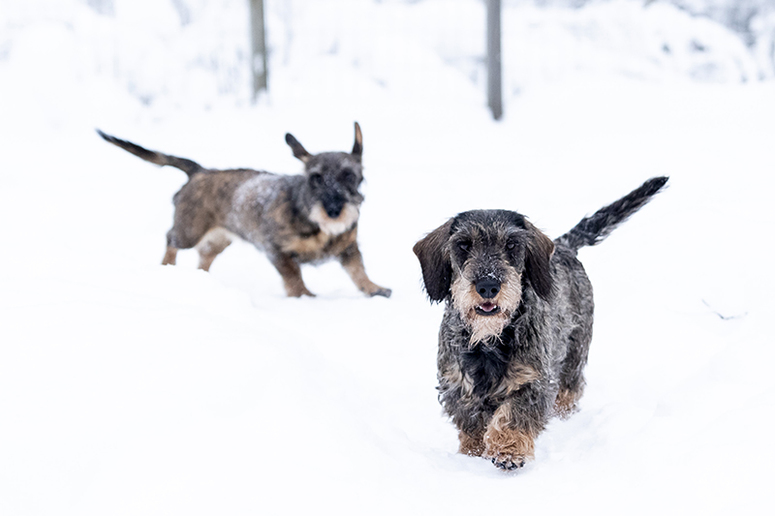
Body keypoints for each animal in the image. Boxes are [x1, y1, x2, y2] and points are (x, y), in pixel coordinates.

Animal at [100, 122, 392, 298]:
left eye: (351, 176)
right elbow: (294, 277)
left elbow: (358, 272)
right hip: (189, 231)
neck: (318, 227)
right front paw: (304, 296)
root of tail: (200, 171)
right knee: (170, 239)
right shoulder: (276, 251)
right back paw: (167, 266)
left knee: (204, 257)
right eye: (316, 178)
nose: (333, 210)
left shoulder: (349, 249)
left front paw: (374, 288)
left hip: (219, 241)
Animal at [416, 177, 668, 472]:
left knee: (569, 391)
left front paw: (509, 451)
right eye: (463, 245)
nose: (488, 285)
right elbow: (471, 423)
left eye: (512, 245)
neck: (489, 341)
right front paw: (473, 453)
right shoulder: (456, 384)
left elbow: (514, 415)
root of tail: (563, 245)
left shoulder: (535, 381)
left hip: (574, 356)